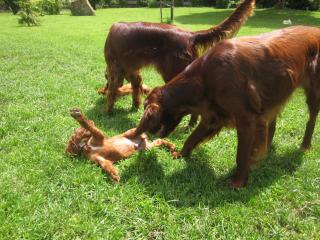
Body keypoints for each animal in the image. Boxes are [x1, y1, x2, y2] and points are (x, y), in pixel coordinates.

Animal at [132, 25, 320, 188]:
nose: (151, 134)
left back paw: (305, 146)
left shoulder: (247, 120)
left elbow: (242, 155)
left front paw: (238, 182)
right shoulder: (212, 117)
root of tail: (315, 29)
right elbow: (191, 138)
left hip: (313, 92)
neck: (203, 78)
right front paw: (181, 154)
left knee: (311, 120)